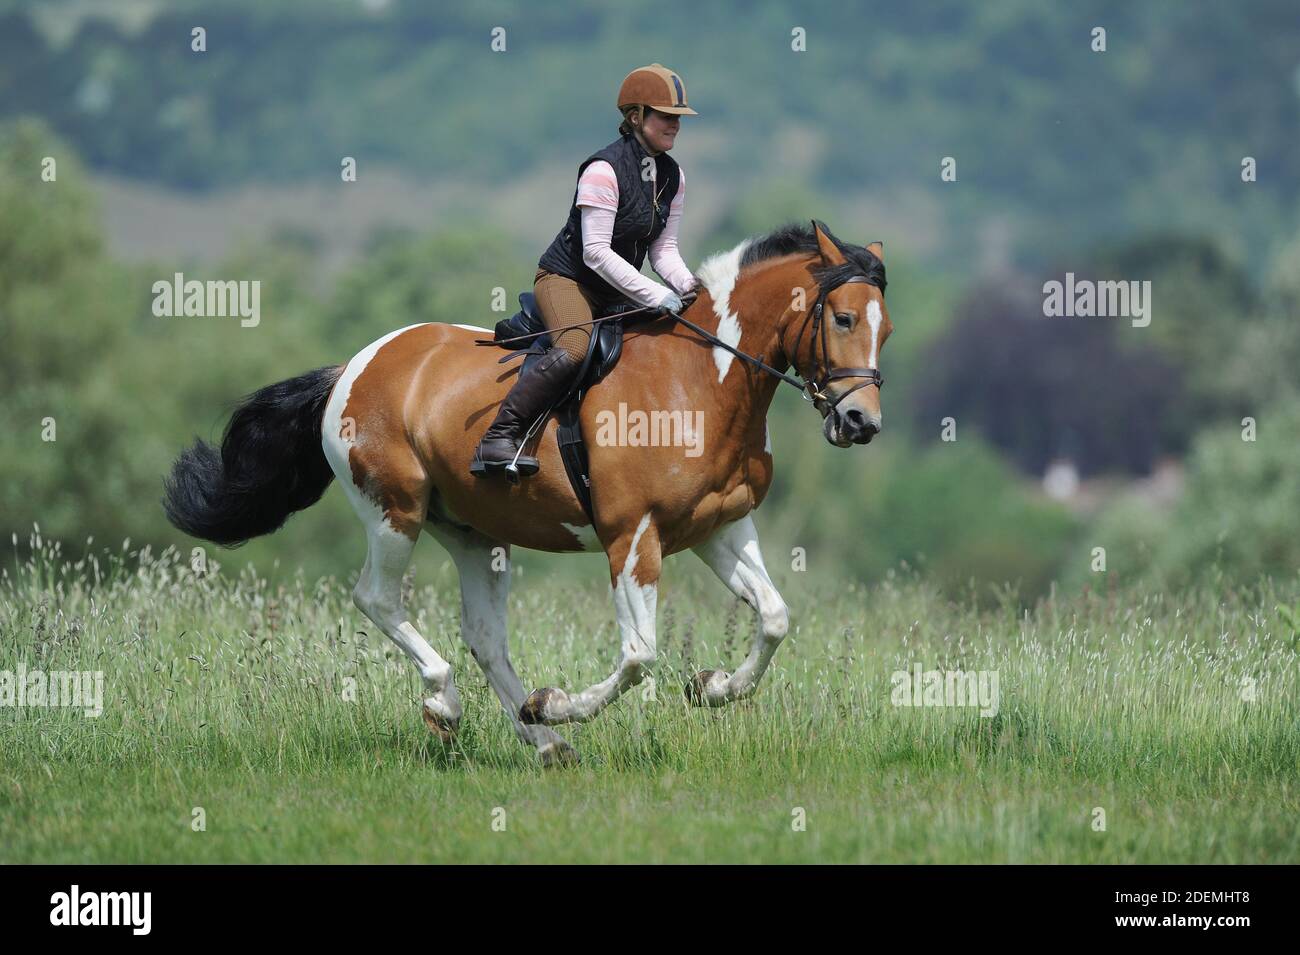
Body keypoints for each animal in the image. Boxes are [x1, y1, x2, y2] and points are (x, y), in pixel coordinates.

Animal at [162, 220, 889, 764]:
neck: (702, 382)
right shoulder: (632, 536)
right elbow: (638, 656)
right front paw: (560, 702)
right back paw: (453, 704)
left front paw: (709, 687)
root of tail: (354, 366)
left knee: (484, 636)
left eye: (885, 329)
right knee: (376, 597)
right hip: (393, 508)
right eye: (843, 318)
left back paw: (541, 740)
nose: (862, 423)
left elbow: (773, 617)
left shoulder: (720, 529)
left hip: (472, 532)